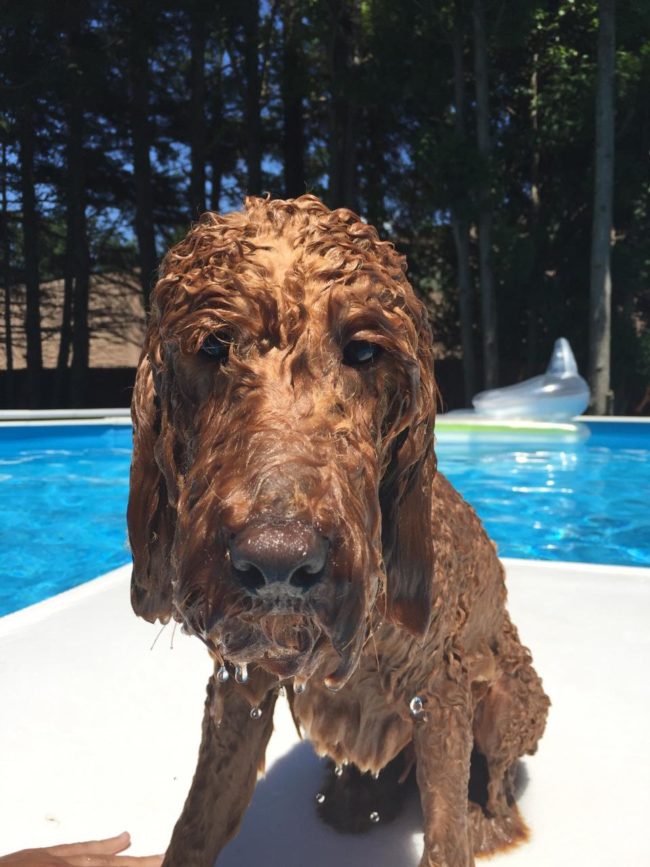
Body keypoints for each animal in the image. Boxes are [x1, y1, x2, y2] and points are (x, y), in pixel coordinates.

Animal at [126, 197, 548, 867]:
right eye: (214, 345)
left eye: (364, 351)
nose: (277, 563)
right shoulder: (240, 690)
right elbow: (195, 825)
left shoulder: (443, 693)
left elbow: (446, 831)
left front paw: (465, 828)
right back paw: (354, 800)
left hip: (514, 701)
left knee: (498, 778)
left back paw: (489, 820)